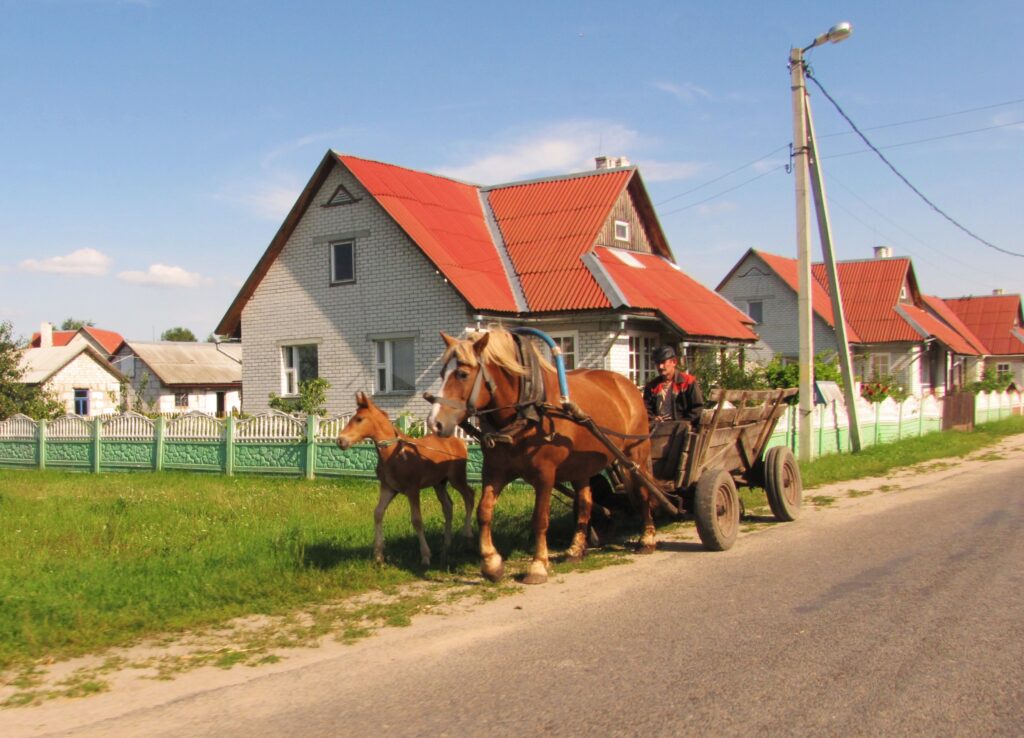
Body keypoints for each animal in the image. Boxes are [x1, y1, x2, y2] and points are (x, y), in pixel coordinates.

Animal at [337, 395, 477, 569]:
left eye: (359, 419)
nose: (340, 441)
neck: (394, 453)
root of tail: (460, 442)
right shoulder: (388, 488)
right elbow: (378, 513)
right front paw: (378, 556)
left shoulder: (413, 490)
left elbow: (417, 520)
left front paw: (425, 556)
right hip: (439, 483)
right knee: (448, 506)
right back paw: (446, 546)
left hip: (457, 478)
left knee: (469, 496)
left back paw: (468, 537)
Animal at [425, 327, 655, 581]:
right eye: (442, 373)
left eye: (463, 374)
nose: (434, 423)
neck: (529, 410)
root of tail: (625, 383)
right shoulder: (494, 470)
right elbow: (484, 511)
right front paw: (491, 563)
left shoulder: (545, 474)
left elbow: (540, 519)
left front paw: (538, 565)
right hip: (581, 466)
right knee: (585, 503)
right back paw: (575, 549)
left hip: (635, 454)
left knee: (644, 492)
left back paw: (647, 538)